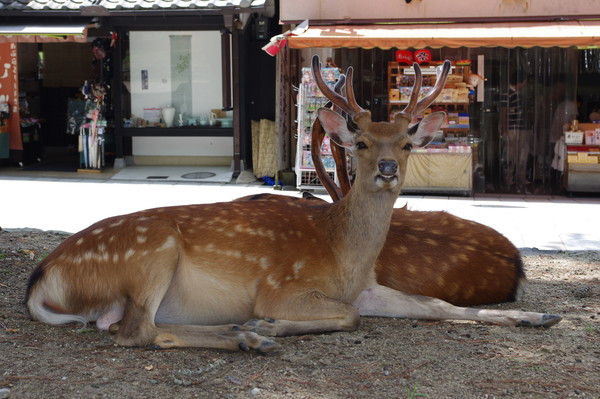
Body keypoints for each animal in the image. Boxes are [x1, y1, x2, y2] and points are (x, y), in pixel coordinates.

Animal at [25, 55, 560, 354]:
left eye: (407, 143)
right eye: (360, 142)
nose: (388, 168)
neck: (343, 255)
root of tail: (40, 278)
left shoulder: (368, 288)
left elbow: (439, 306)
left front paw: (538, 317)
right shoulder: (283, 285)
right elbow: (348, 317)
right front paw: (269, 323)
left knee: (126, 326)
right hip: (151, 253)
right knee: (135, 332)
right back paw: (250, 336)